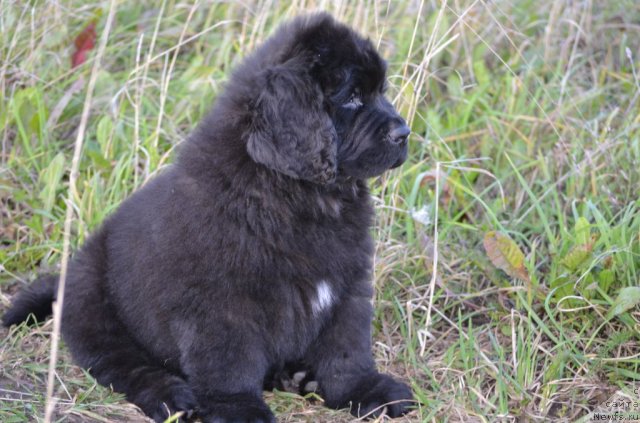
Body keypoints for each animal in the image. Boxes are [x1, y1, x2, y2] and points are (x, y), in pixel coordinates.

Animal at [3, 11, 416, 422]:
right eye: (352, 96)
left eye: (380, 90)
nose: (404, 132)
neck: (296, 193)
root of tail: (67, 274)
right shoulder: (221, 303)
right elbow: (229, 363)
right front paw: (240, 409)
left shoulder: (346, 286)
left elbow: (346, 350)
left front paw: (367, 391)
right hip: (99, 308)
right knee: (125, 365)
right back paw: (171, 396)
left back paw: (296, 376)